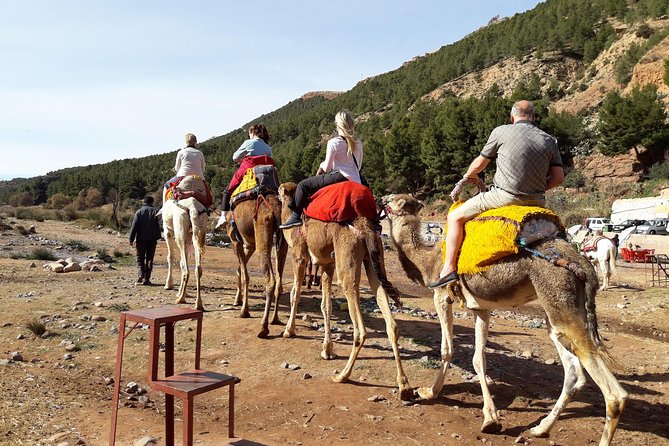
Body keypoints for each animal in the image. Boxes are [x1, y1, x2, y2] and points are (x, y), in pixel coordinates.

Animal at [228, 193, 288, 338]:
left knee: (271, 281)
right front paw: (237, 300)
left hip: (262, 236)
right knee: (279, 282)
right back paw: (275, 319)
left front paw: (244, 310)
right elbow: (240, 270)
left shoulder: (236, 241)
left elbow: (245, 276)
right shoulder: (250, 245)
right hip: (282, 241)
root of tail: (275, 209)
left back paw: (263, 327)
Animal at [278, 182, 413, 400]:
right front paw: (328, 350)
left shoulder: (300, 255)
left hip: (347, 261)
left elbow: (294, 294)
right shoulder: (327, 264)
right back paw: (405, 387)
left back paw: (342, 375)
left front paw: (289, 331)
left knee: (360, 329)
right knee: (391, 323)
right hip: (373, 260)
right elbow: (326, 305)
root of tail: (364, 227)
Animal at [382, 194, 628, 446]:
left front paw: (430, 392)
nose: (381, 199)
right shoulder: (481, 308)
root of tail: (584, 266)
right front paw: (491, 419)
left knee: (614, 394)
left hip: (559, 296)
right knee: (573, 373)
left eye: (396, 201)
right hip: (558, 313)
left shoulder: (441, 295)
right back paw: (540, 429)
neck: (427, 262)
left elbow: (447, 349)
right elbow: (479, 359)